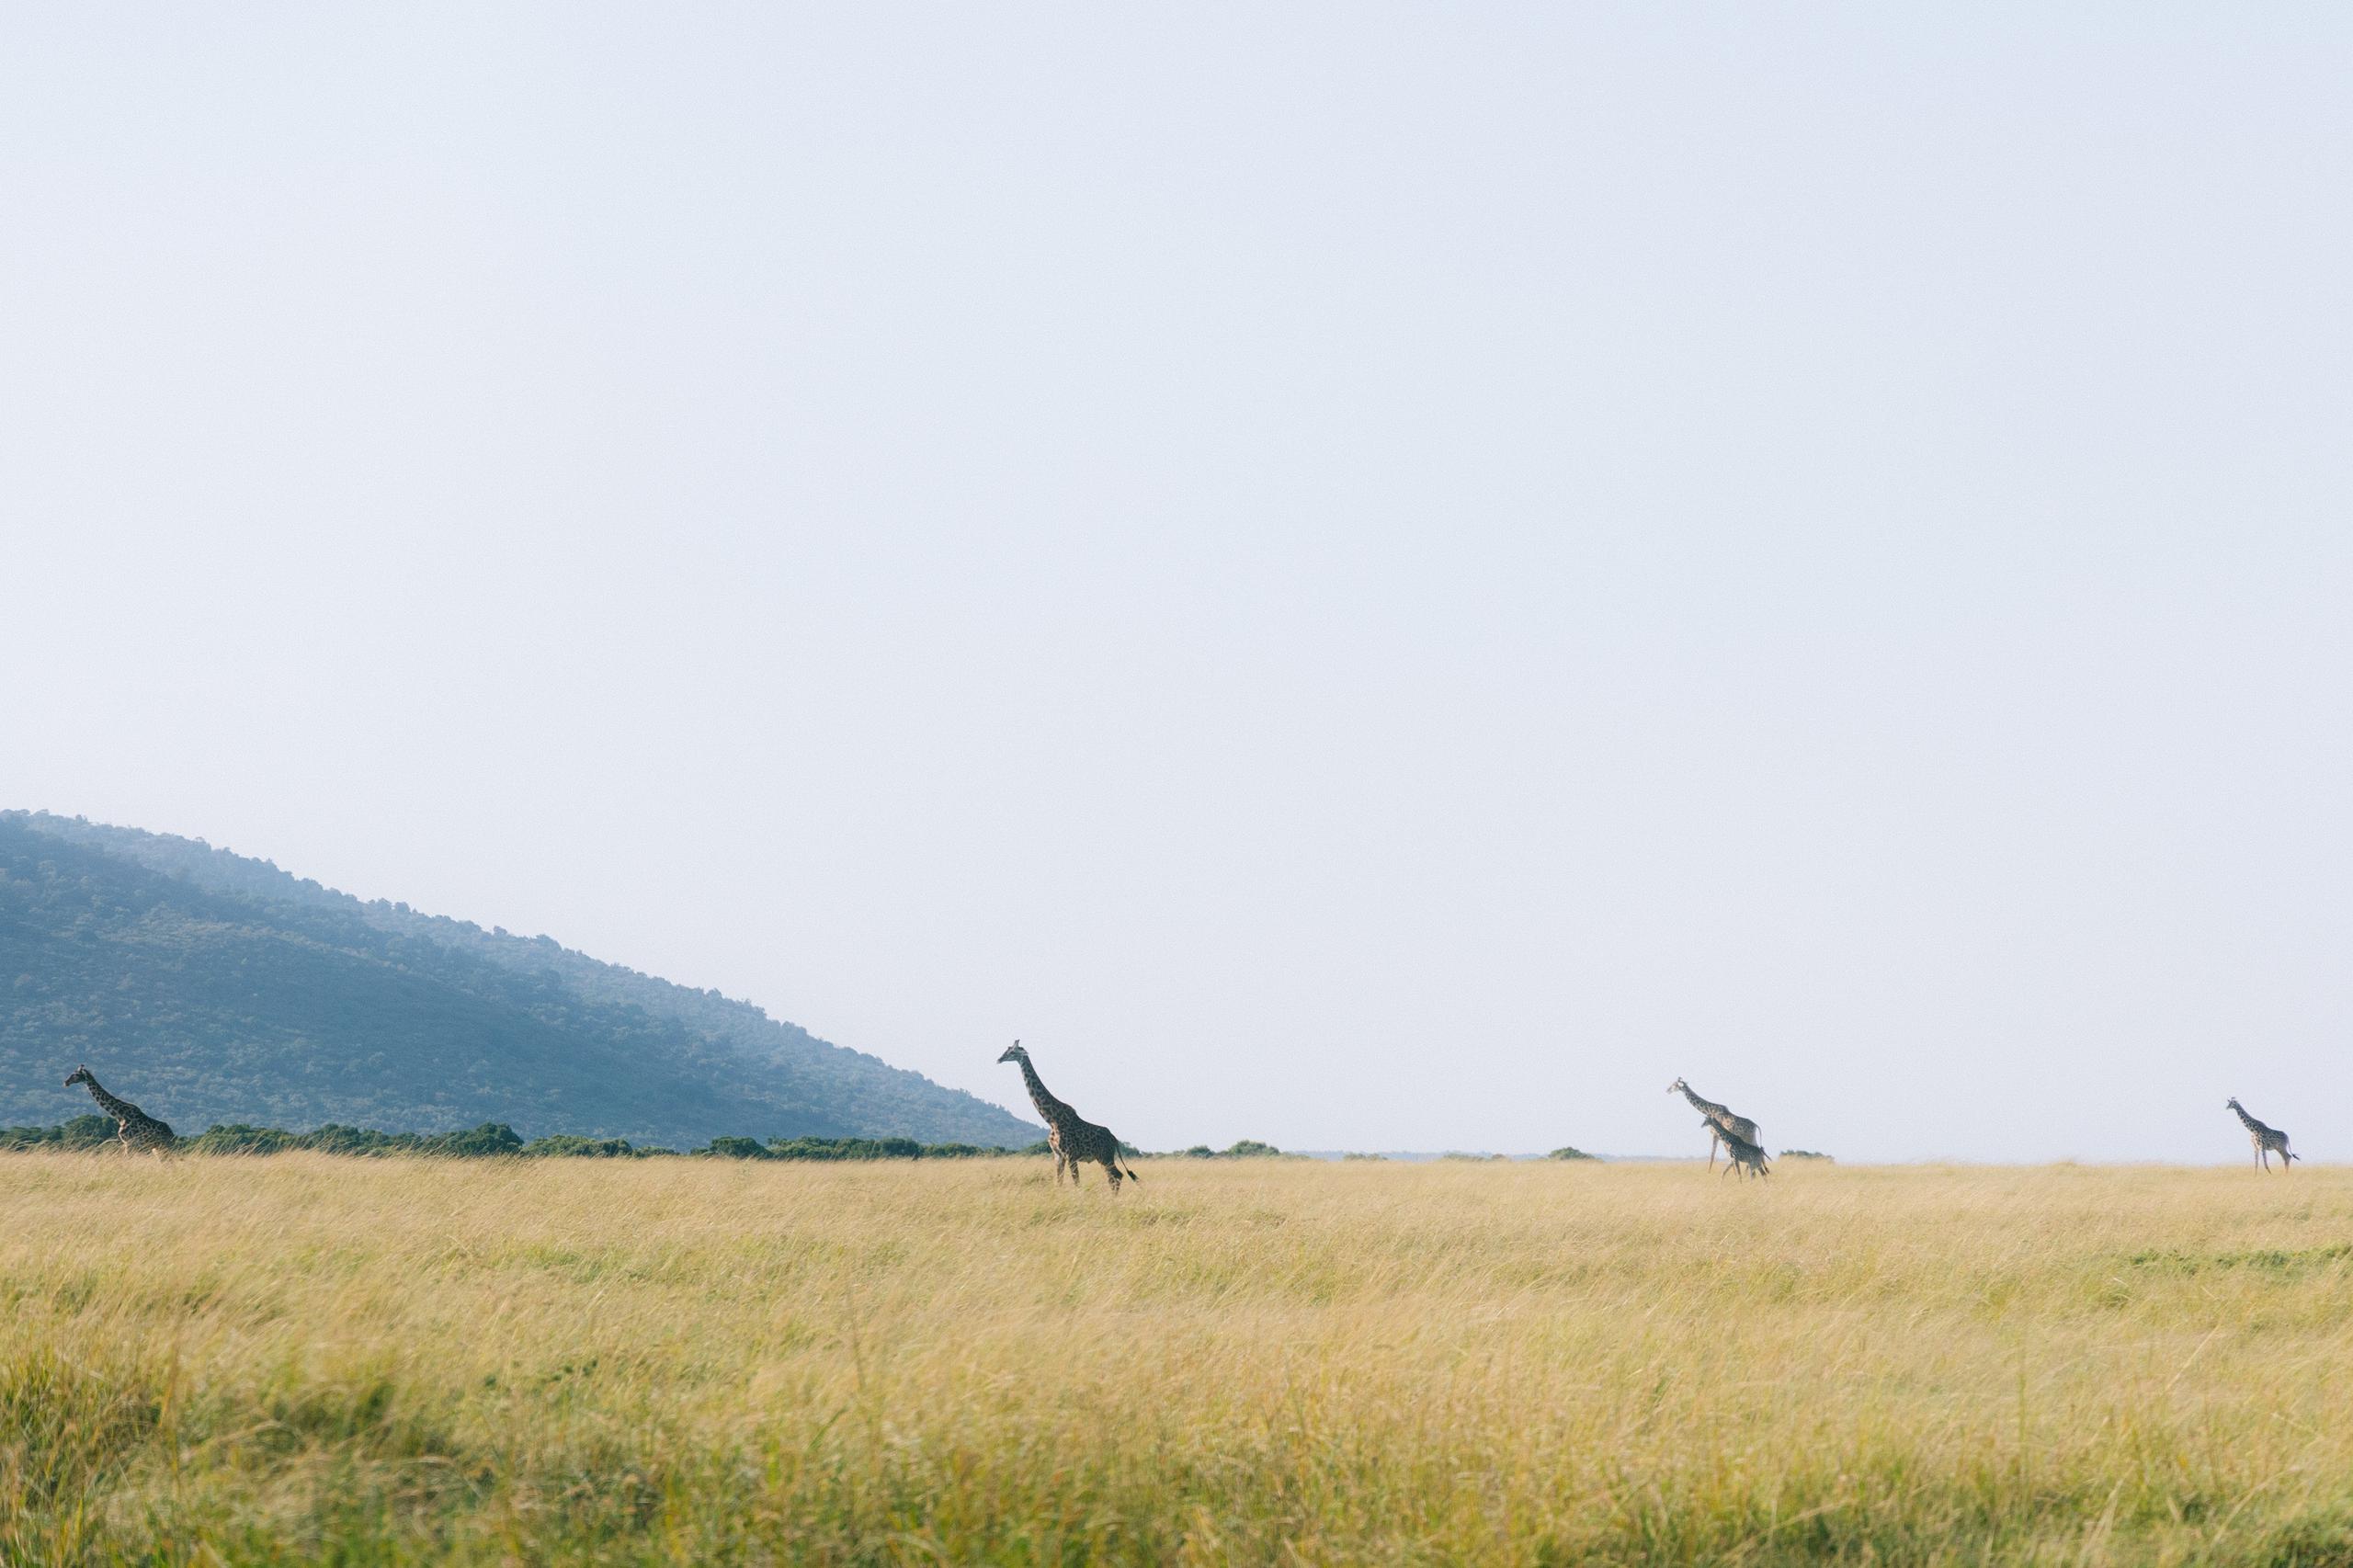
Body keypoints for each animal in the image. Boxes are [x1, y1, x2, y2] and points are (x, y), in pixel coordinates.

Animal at [997, 1041, 1140, 1193]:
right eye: (1007, 1049)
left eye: (1012, 1052)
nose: (999, 1059)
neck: (1051, 1119)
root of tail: (1114, 1139)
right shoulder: (1058, 1155)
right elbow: (1058, 1182)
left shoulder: (1071, 1155)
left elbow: (1077, 1182)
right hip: (1103, 1157)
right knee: (1115, 1176)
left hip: (1105, 1156)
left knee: (1116, 1176)